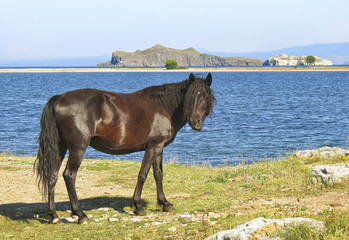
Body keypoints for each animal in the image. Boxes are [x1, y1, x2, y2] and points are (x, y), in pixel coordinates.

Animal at [36, 72, 215, 223]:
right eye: (190, 97)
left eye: (206, 97)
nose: (196, 123)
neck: (163, 107)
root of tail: (58, 98)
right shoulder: (153, 147)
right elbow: (143, 174)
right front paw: (137, 206)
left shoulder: (159, 148)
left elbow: (158, 175)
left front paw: (165, 203)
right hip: (78, 148)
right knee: (69, 175)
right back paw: (80, 214)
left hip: (60, 147)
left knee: (52, 176)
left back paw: (53, 215)